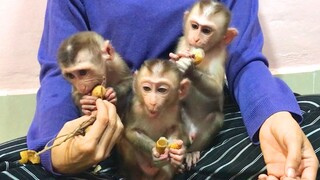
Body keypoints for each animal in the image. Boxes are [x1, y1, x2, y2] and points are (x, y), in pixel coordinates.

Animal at [170, 0, 238, 167]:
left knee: (215, 119)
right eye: (195, 26)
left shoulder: (220, 54)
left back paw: (191, 151)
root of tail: (193, 131)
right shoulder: (183, 43)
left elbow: (216, 89)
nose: (196, 39)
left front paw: (189, 69)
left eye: (206, 30)